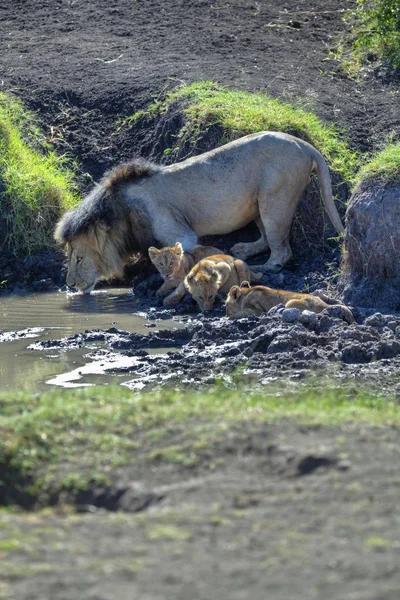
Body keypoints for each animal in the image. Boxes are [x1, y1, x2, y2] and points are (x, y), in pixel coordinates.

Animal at [54, 131, 344, 292]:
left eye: (78, 258)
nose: (69, 285)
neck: (120, 213)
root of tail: (304, 144)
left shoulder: (179, 232)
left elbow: (187, 255)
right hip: (259, 205)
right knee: (265, 239)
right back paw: (242, 249)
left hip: (275, 198)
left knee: (282, 251)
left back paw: (262, 266)